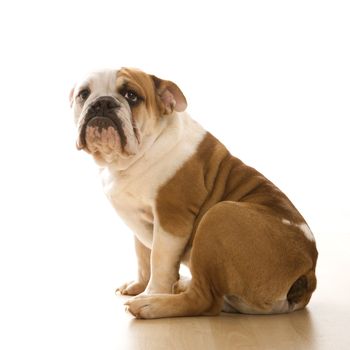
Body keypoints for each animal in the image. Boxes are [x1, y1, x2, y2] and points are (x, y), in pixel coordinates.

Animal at [70, 67, 318, 318]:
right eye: (83, 94)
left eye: (131, 96)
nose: (102, 103)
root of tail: (308, 272)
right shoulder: (137, 220)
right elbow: (143, 257)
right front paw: (139, 285)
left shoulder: (171, 221)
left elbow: (158, 260)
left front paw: (151, 292)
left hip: (218, 215)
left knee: (204, 300)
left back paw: (152, 305)